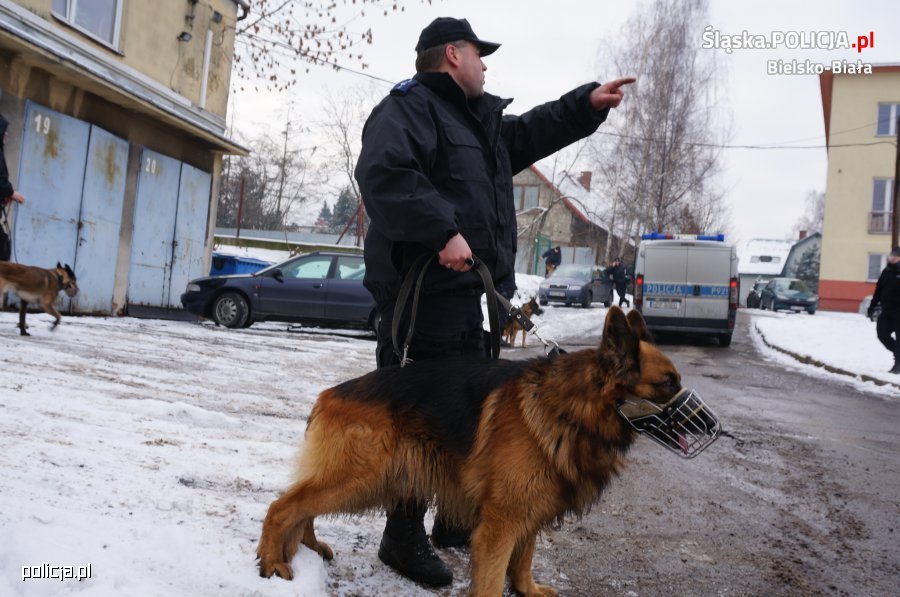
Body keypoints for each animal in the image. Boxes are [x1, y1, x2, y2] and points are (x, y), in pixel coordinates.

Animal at [256, 308, 700, 592]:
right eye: (668, 383)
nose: (710, 427)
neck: (574, 405)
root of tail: (329, 394)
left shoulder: (529, 509)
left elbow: (525, 557)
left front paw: (527, 589)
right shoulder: (499, 526)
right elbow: (492, 578)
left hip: (370, 480)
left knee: (303, 506)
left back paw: (306, 548)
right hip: (362, 478)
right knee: (284, 506)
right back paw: (272, 560)